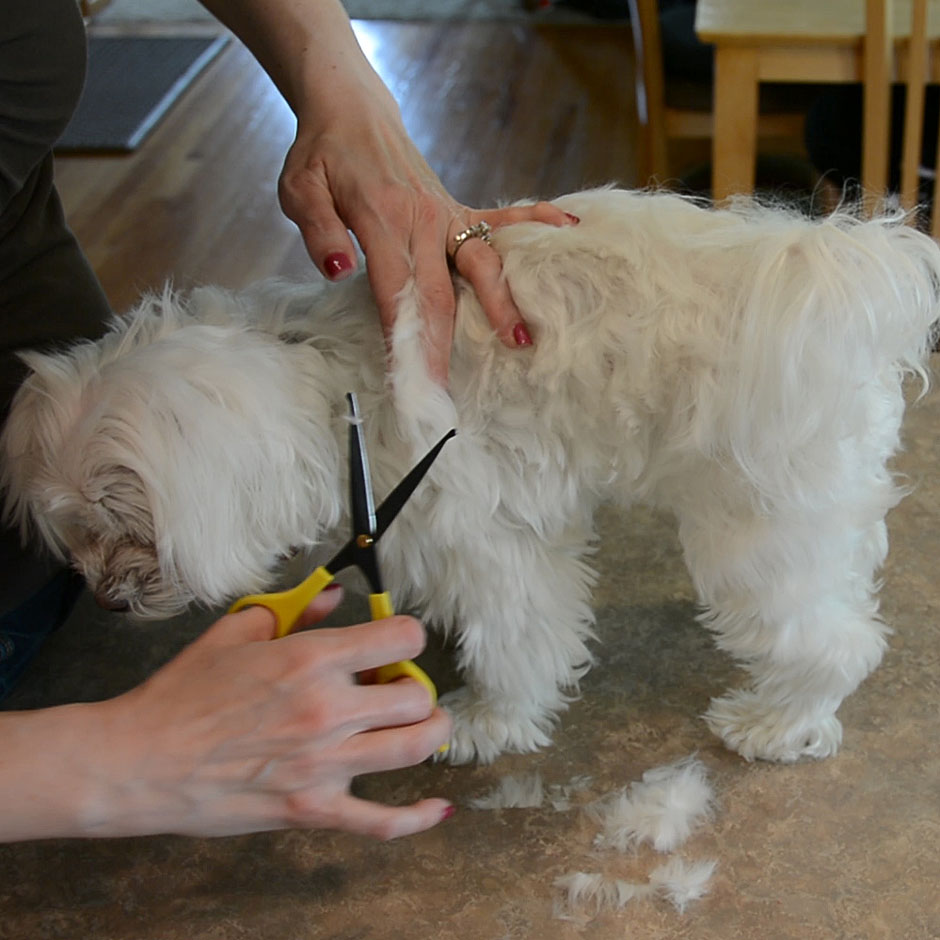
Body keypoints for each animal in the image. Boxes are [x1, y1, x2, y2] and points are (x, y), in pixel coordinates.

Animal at [3, 189, 936, 764]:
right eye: (74, 535)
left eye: (130, 528)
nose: (107, 598)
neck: (323, 378)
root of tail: (835, 259)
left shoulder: (481, 533)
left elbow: (520, 636)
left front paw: (488, 720)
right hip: (822, 509)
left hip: (757, 520)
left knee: (836, 639)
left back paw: (779, 722)